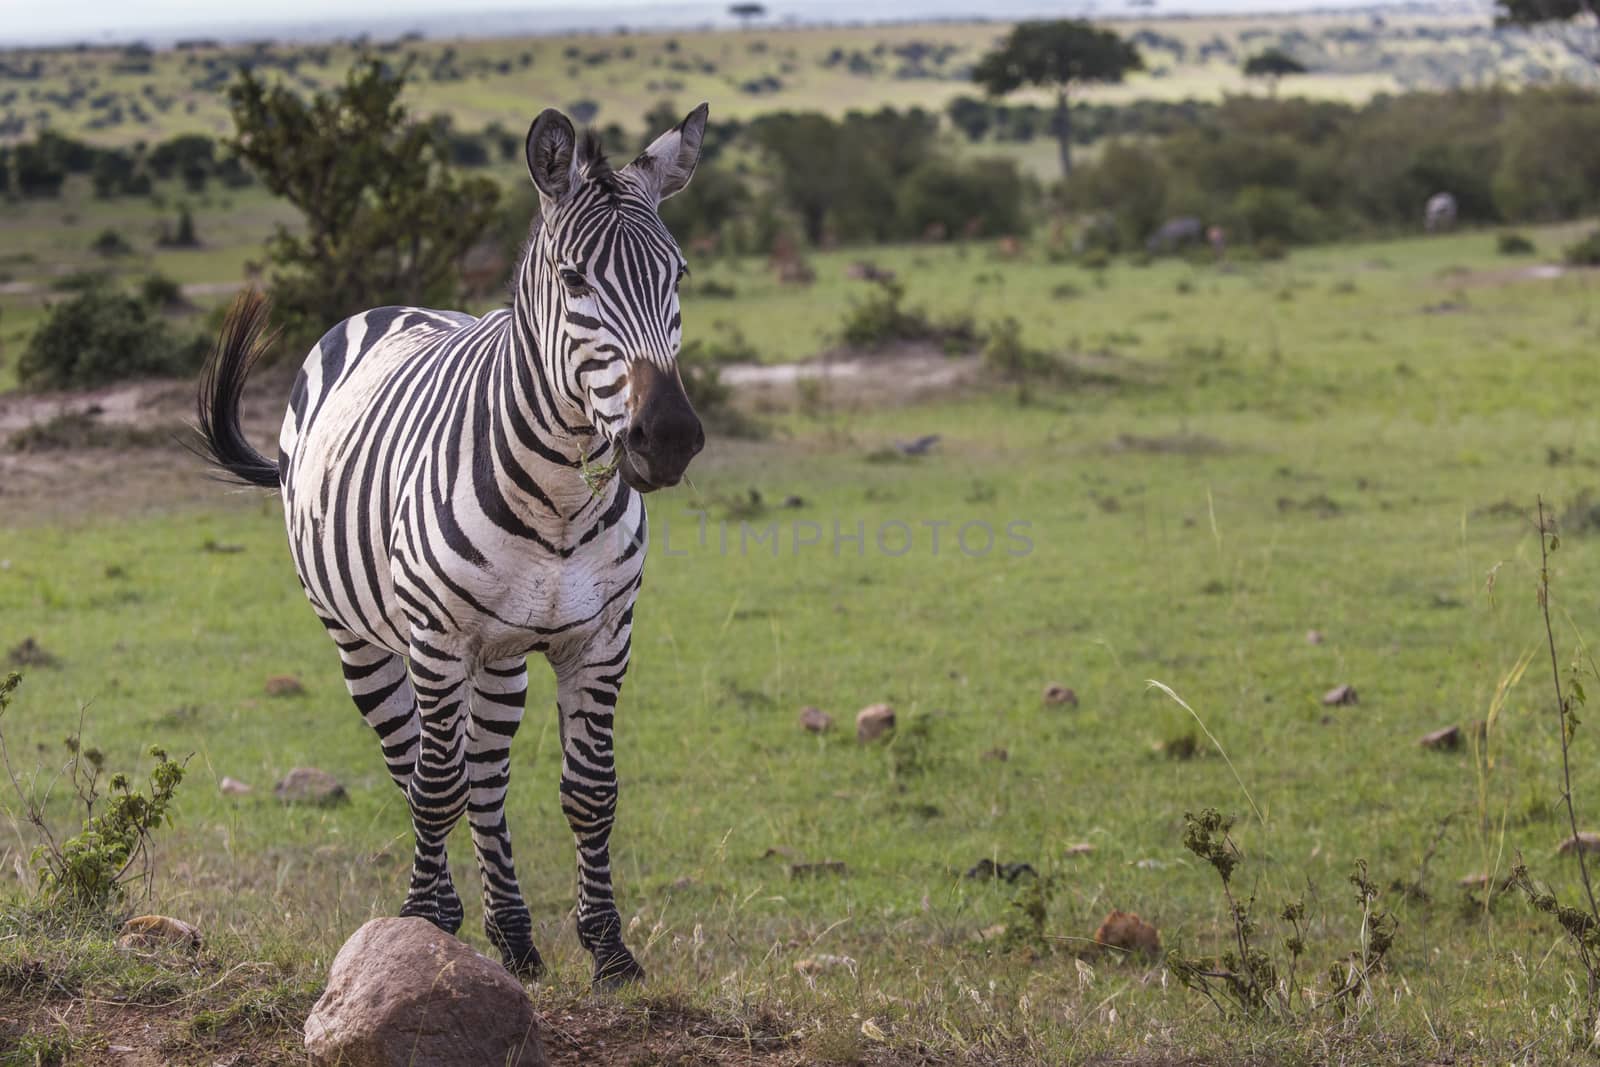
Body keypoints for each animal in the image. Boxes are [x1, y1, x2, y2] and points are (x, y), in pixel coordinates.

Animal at [192, 103, 707, 991]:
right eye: (574, 280)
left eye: (676, 276)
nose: (668, 436)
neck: (561, 501)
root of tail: (386, 307)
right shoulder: (435, 637)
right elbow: (434, 788)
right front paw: (419, 927)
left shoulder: (603, 636)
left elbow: (591, 792)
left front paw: (609, 951)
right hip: (362, 638)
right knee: (420, 768)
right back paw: (447, 914)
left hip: (501, 657)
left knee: (487, 780)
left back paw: (516, 937)